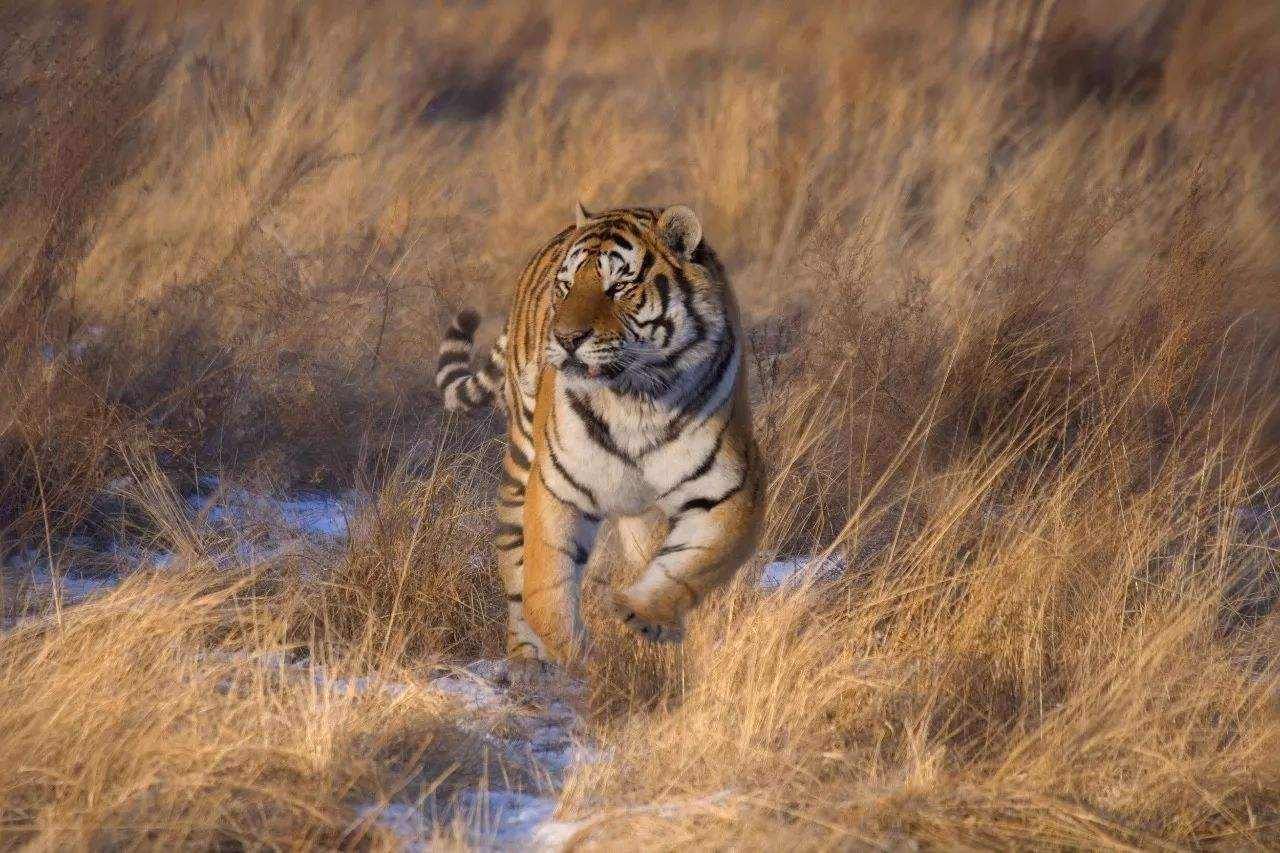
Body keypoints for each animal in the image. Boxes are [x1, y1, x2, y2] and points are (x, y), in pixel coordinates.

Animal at [440, 202, 757, 666]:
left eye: (619, 286)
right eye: (566, 286)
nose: (566, 338)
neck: (636, 399)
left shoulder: (729, 488)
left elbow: (694, 563)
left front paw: (644, 616)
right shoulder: (557, 486)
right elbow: (545, 587)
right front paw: (579, 656)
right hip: (521, 460)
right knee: (514, 558)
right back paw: (526, 660)